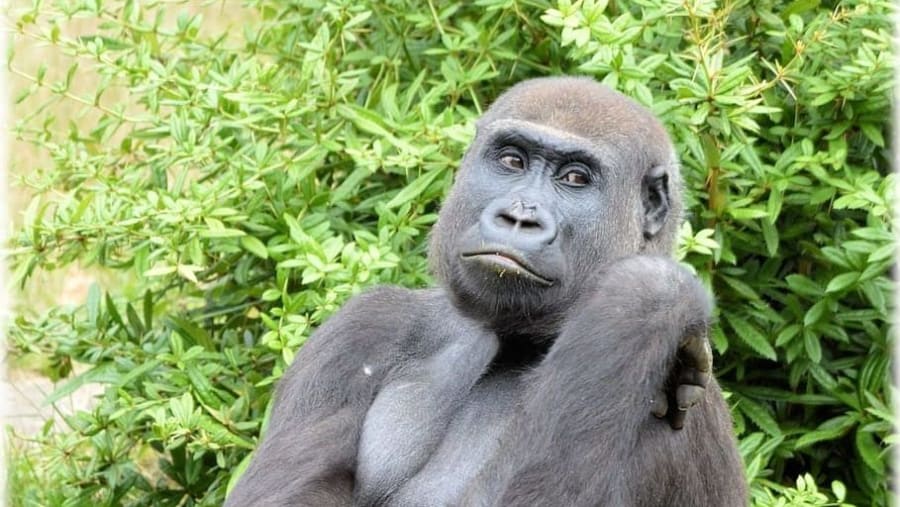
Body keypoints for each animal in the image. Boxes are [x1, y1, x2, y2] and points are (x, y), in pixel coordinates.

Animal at [225, 76, 747, 507]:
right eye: (512, 160)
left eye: (575, 178)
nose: (518, 216)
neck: (511, 339)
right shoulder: (363, 325)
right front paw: (658, 292)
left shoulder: (672, 405)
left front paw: (647, 293)